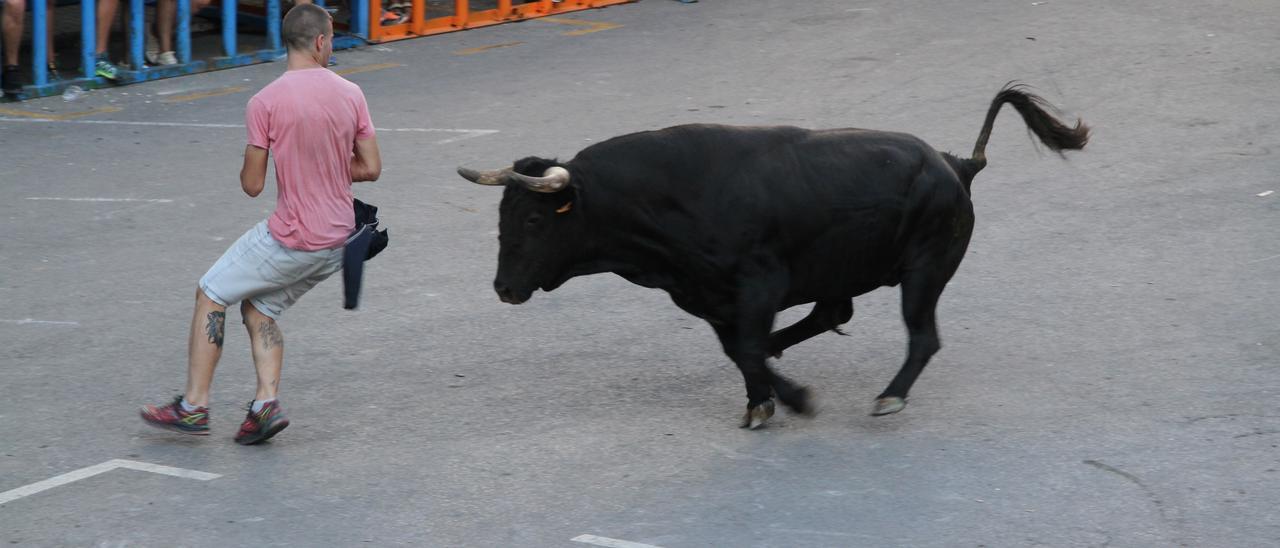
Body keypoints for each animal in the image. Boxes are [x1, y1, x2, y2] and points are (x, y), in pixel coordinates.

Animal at [455, 84, 1085, 427]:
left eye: (533, 219)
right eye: (502, 217)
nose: (504, 288)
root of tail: (955, 164)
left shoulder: (758, 285)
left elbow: (750, 348)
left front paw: (793, 398)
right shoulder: (709, 297)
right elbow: (742, 350)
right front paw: (765, 400)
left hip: (924, 272)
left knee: (921, 337)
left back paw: (889, 397)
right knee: (830, 314)